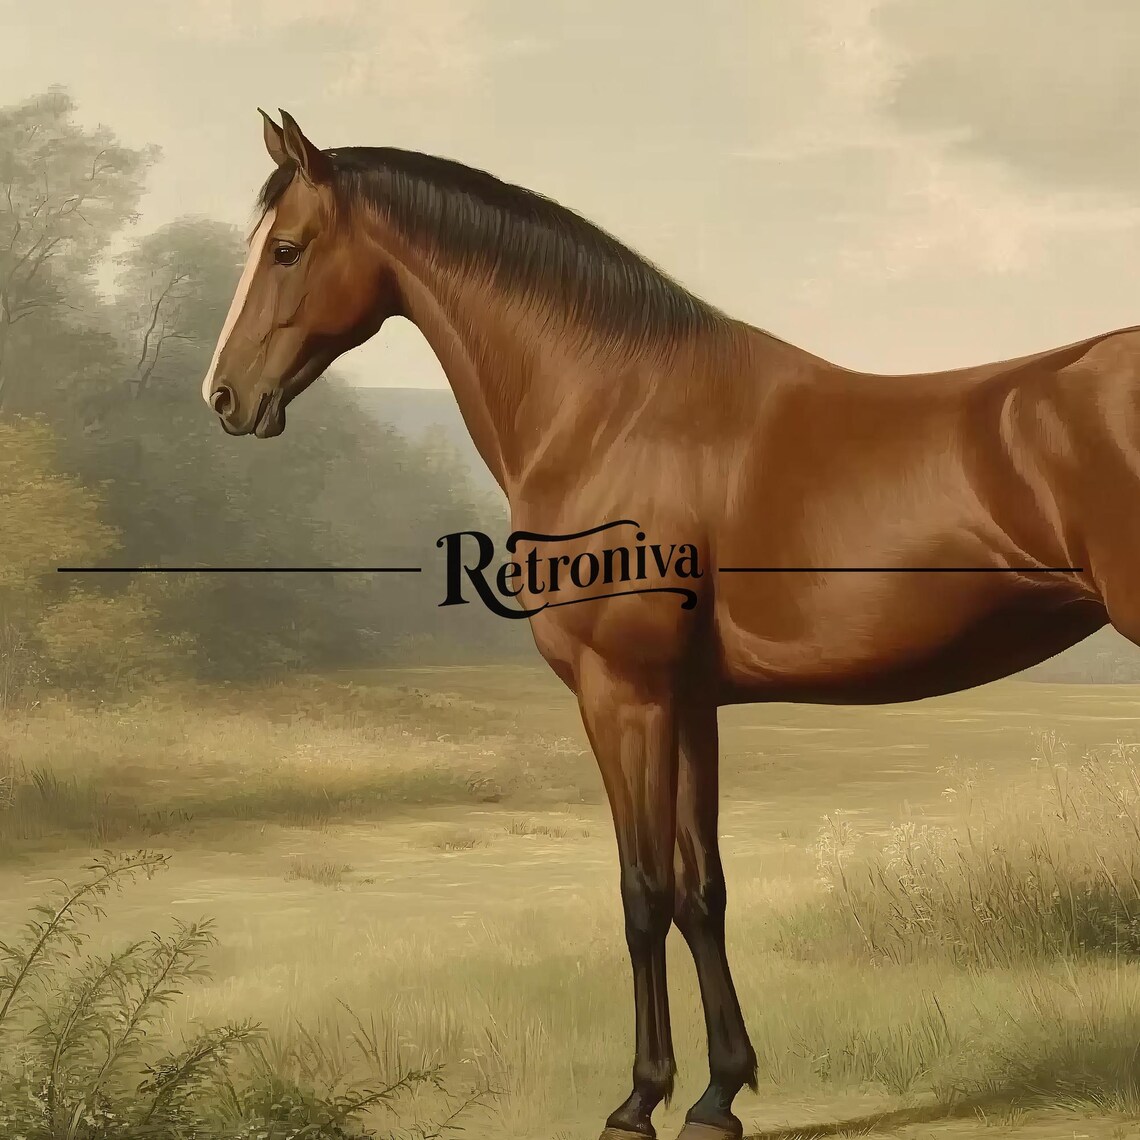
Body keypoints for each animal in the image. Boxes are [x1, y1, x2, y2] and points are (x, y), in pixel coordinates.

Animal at [202, 108, 1133, 1140]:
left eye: (286, 249)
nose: (224, 396)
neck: (615, 409)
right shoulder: (689, 704)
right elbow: (702, 890)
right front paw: (720, 1093)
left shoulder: (624, 694)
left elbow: (642, 893)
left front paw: (639, 1099)